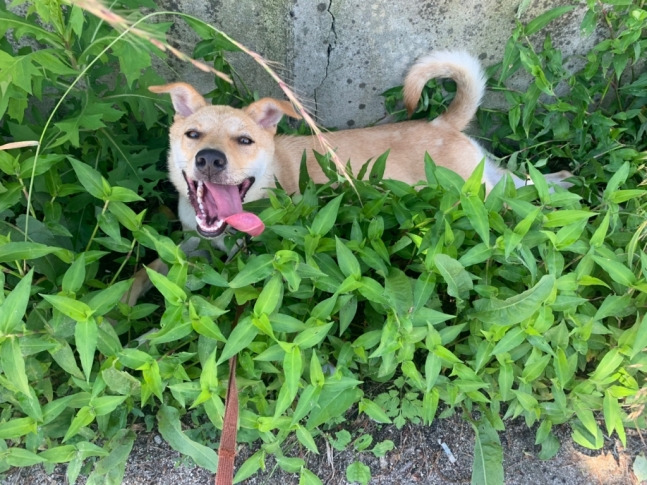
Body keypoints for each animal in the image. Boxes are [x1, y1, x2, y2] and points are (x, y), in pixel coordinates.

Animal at [125, 51, 572, 304]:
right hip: (489, 181)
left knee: (518, 200)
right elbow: (145, 270)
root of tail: (441, 123)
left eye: (245, 140)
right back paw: (564, 182)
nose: (210, 160)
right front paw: (120, 311)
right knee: (523, 184)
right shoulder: (188, 242)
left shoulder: (240, 260)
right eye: (193, 135)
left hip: (473, 192)